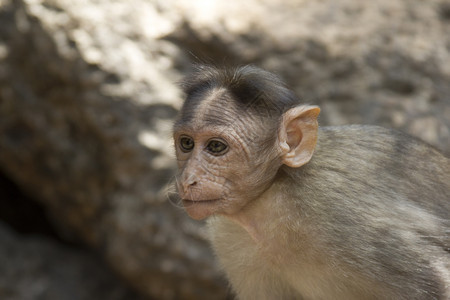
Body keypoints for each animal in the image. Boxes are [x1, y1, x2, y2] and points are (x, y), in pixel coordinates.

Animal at [172, 64, 450, 298]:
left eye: (216, 147)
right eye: (186, 143)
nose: (188, 179)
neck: (268, 200)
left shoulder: (337, 216)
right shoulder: (228, 237)